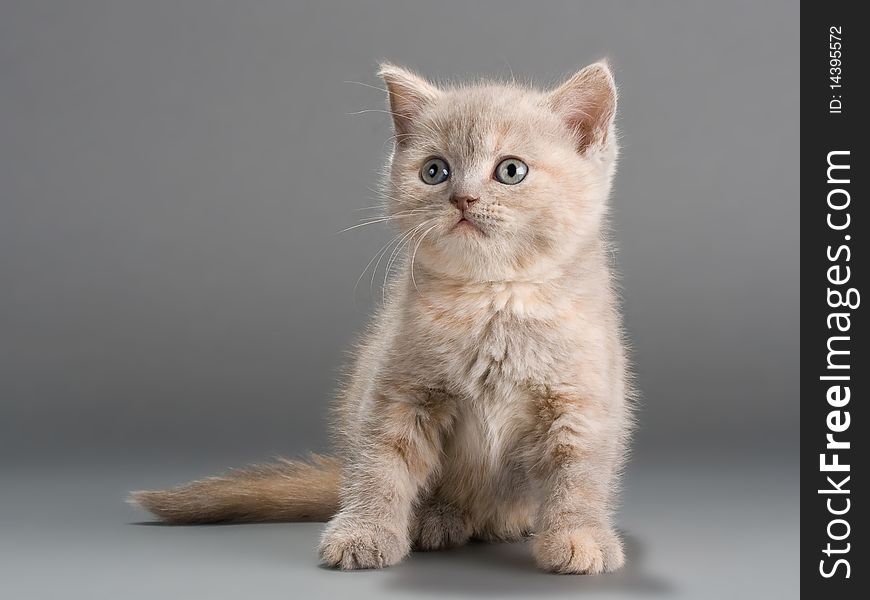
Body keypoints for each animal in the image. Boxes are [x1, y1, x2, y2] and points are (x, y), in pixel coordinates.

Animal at [129, 62, 632, 576]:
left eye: (511, 171)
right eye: (435, 171)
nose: (462, 198)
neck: (492, 299)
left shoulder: (581, 403)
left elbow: (578, 476)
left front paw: (579, 538)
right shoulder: (398, 390)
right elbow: (380, 464)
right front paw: (363, 533)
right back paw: (436, 519)